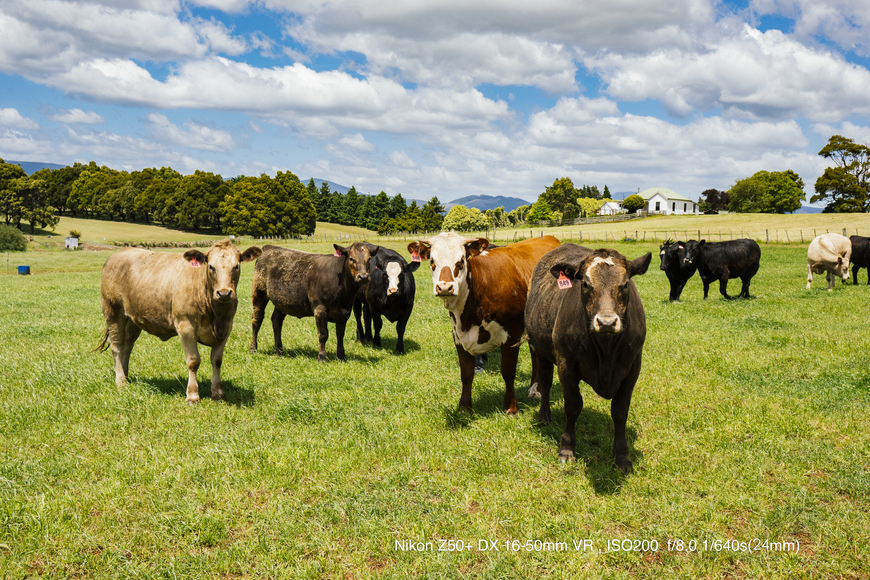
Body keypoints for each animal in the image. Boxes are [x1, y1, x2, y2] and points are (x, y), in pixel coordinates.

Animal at [97, 239, 262, 404]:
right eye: (211, 266)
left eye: (236, 266)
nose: (224, 293)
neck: (216, 315)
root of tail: (119, 253)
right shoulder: (186, 326)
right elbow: (193, 361)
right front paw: (193, 395)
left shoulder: (226, 328)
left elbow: (217, 360)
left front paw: (218, 392)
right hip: (112, 311)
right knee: (117, 346)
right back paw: (121, 381)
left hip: (132, 318)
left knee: (127, 345)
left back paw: (126, 375)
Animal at [408, 233, 560, 414]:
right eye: (432, 261)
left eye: (461, 261)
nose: (444, 287)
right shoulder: (458, 336)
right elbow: (466, 374)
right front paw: (464, 407)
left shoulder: (511, 335)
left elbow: (508, 371)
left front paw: (510, 407)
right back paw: (534, 389)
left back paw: (536, 389)